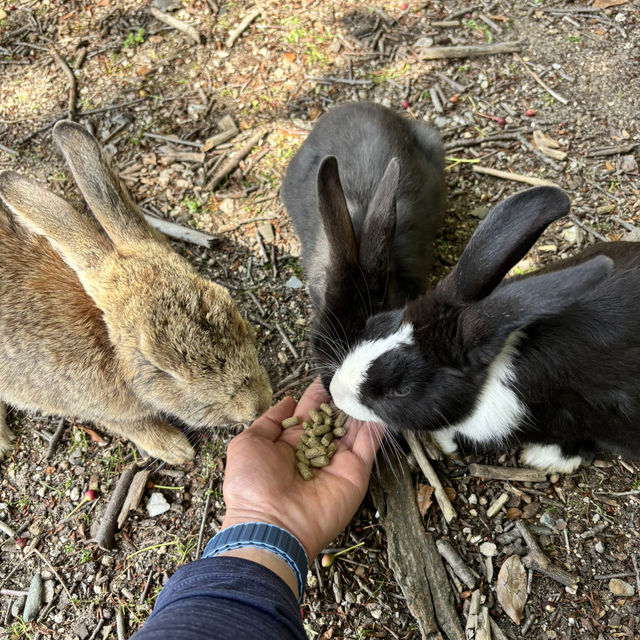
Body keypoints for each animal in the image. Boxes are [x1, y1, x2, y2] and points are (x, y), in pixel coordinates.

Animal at [0, 120, 272, 462]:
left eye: (228, 303)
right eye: (160, 370)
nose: (258, 404)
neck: (111, 345)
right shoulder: (88, 405)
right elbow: (132, 424)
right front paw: (176, 449)